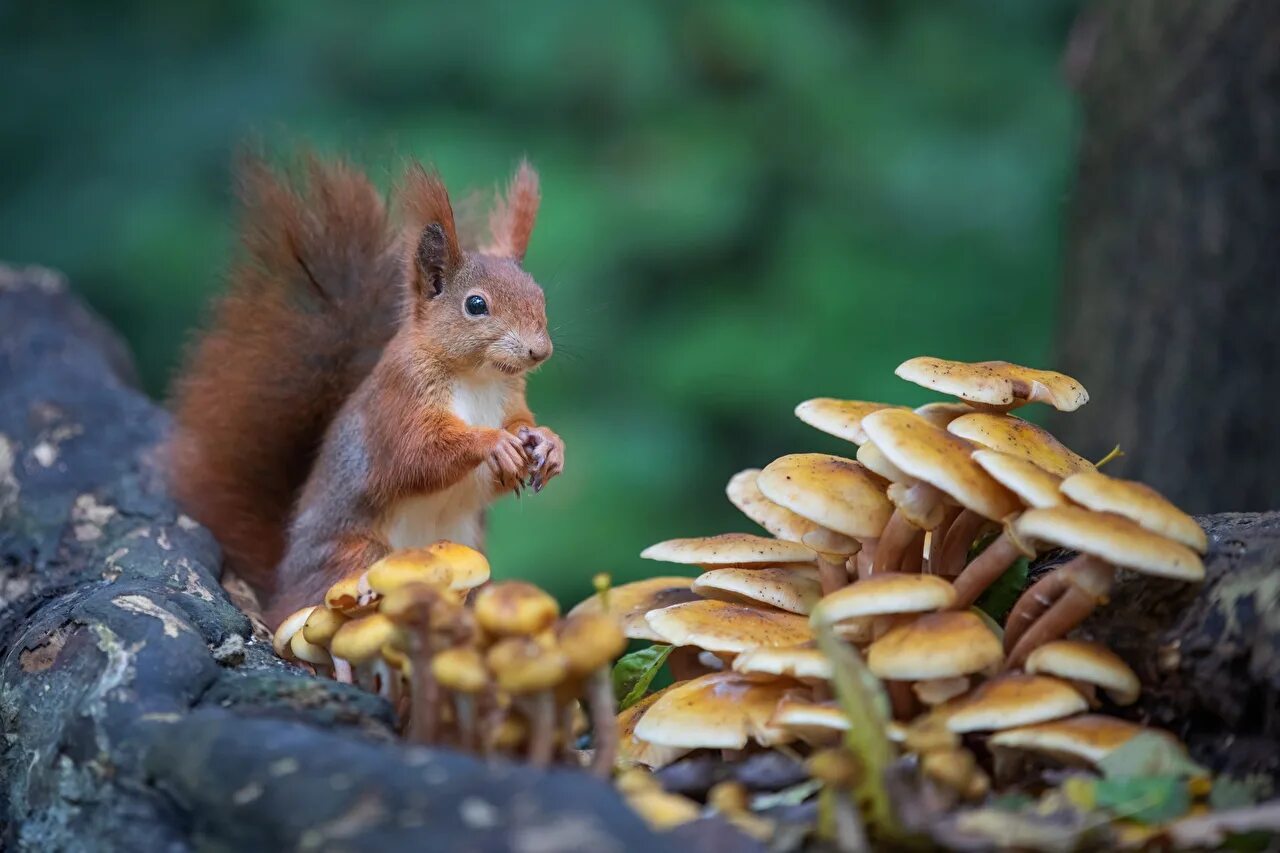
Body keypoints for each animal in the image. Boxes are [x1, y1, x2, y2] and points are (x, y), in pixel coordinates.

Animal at [168, 154, 560, 625]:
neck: (477, 378)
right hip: (357, 556)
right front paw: (493, 443)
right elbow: (417, 454)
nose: (540, 350)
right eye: (476, 305)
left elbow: (516, 432)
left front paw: (548, 443)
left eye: (539, 295)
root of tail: (279, 590)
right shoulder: (397, 401)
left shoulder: (510, 398)